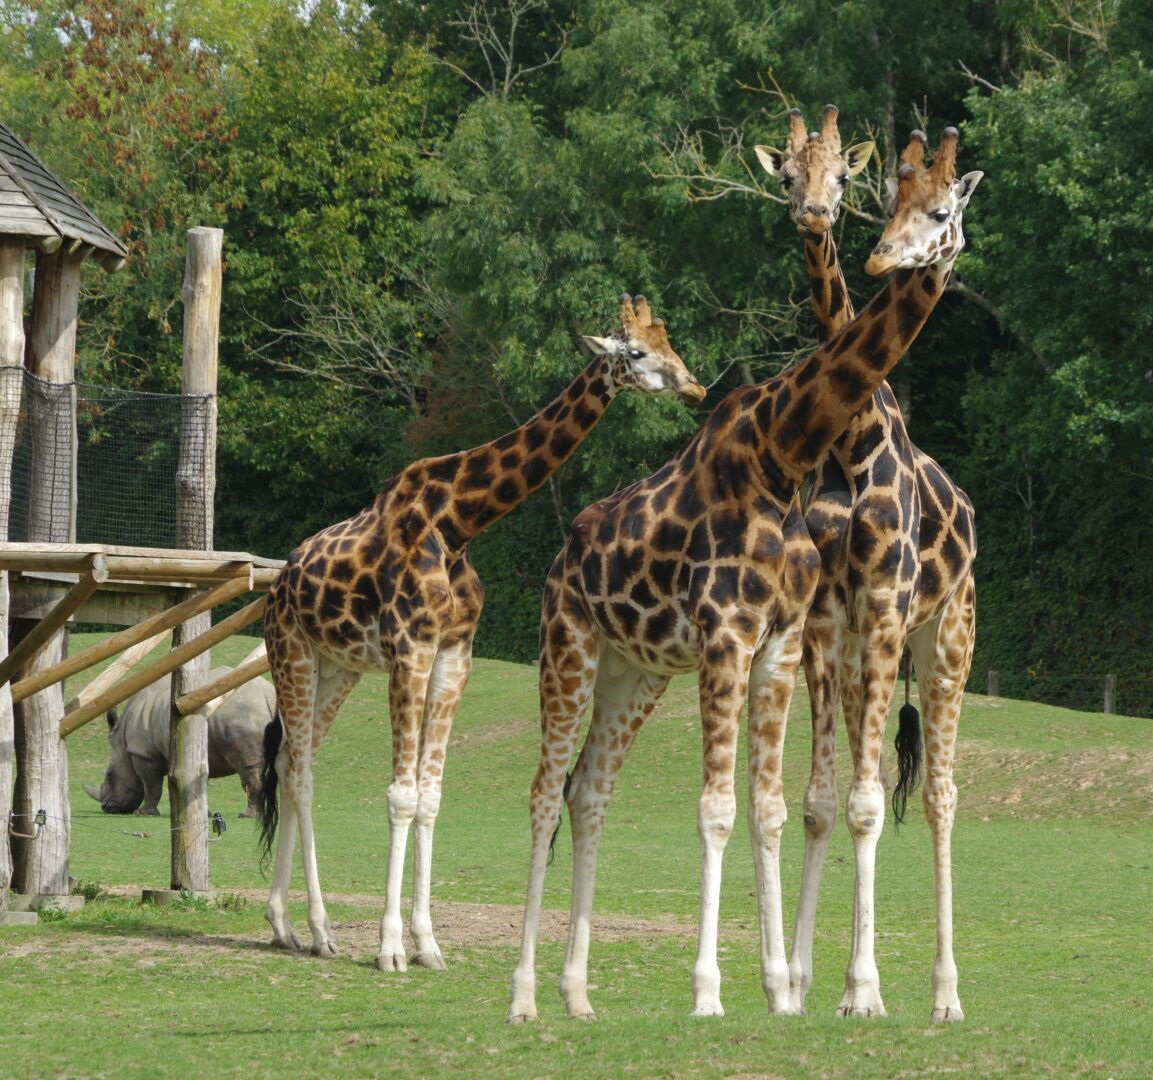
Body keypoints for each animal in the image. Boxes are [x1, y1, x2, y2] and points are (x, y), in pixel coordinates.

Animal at [257, 293, 706, 969]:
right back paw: (318, 927)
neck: (459, 522)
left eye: (668, 342)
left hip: (339, 669)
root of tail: (278, 585)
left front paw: (427, 944)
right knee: (303, 771)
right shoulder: (409, 649)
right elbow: (401, 793)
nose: (695, 386)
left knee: (290, 759)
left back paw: (289, 927)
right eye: (635, 352)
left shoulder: (453, 654)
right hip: (291, 652)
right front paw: (391, 949)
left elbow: (431, 794)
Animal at [508, 128, 982, 1022]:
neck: (787, 448)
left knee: (935, 795)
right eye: (887, 197)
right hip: (577, 650)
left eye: (941, 210)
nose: (876, 255)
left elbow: (773, 807)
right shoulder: (744, 635)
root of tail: (563, 553)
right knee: (554, 791)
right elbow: (729, 807)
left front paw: (790, 989)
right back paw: (527, 996)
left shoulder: (790, 637)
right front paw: (728, 989)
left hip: (925, 636)